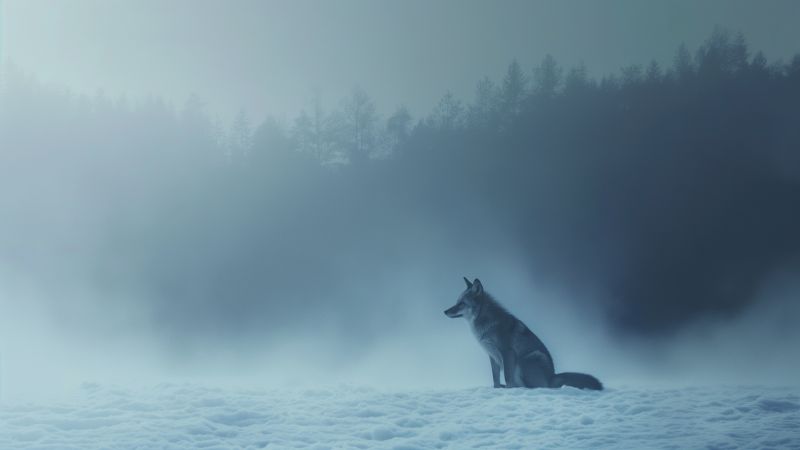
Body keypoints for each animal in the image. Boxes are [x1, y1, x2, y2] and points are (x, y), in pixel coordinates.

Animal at [444, 277, 602, 390]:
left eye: (461, 303)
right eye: (456, 302)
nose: (445, 311)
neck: (486, 325)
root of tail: (552, 377)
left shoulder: (507, 352)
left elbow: (507, 378)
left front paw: (507, 391)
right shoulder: (492, 356)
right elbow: (495, 379)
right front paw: (497, 389)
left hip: (526, 359)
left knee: (533, 387)